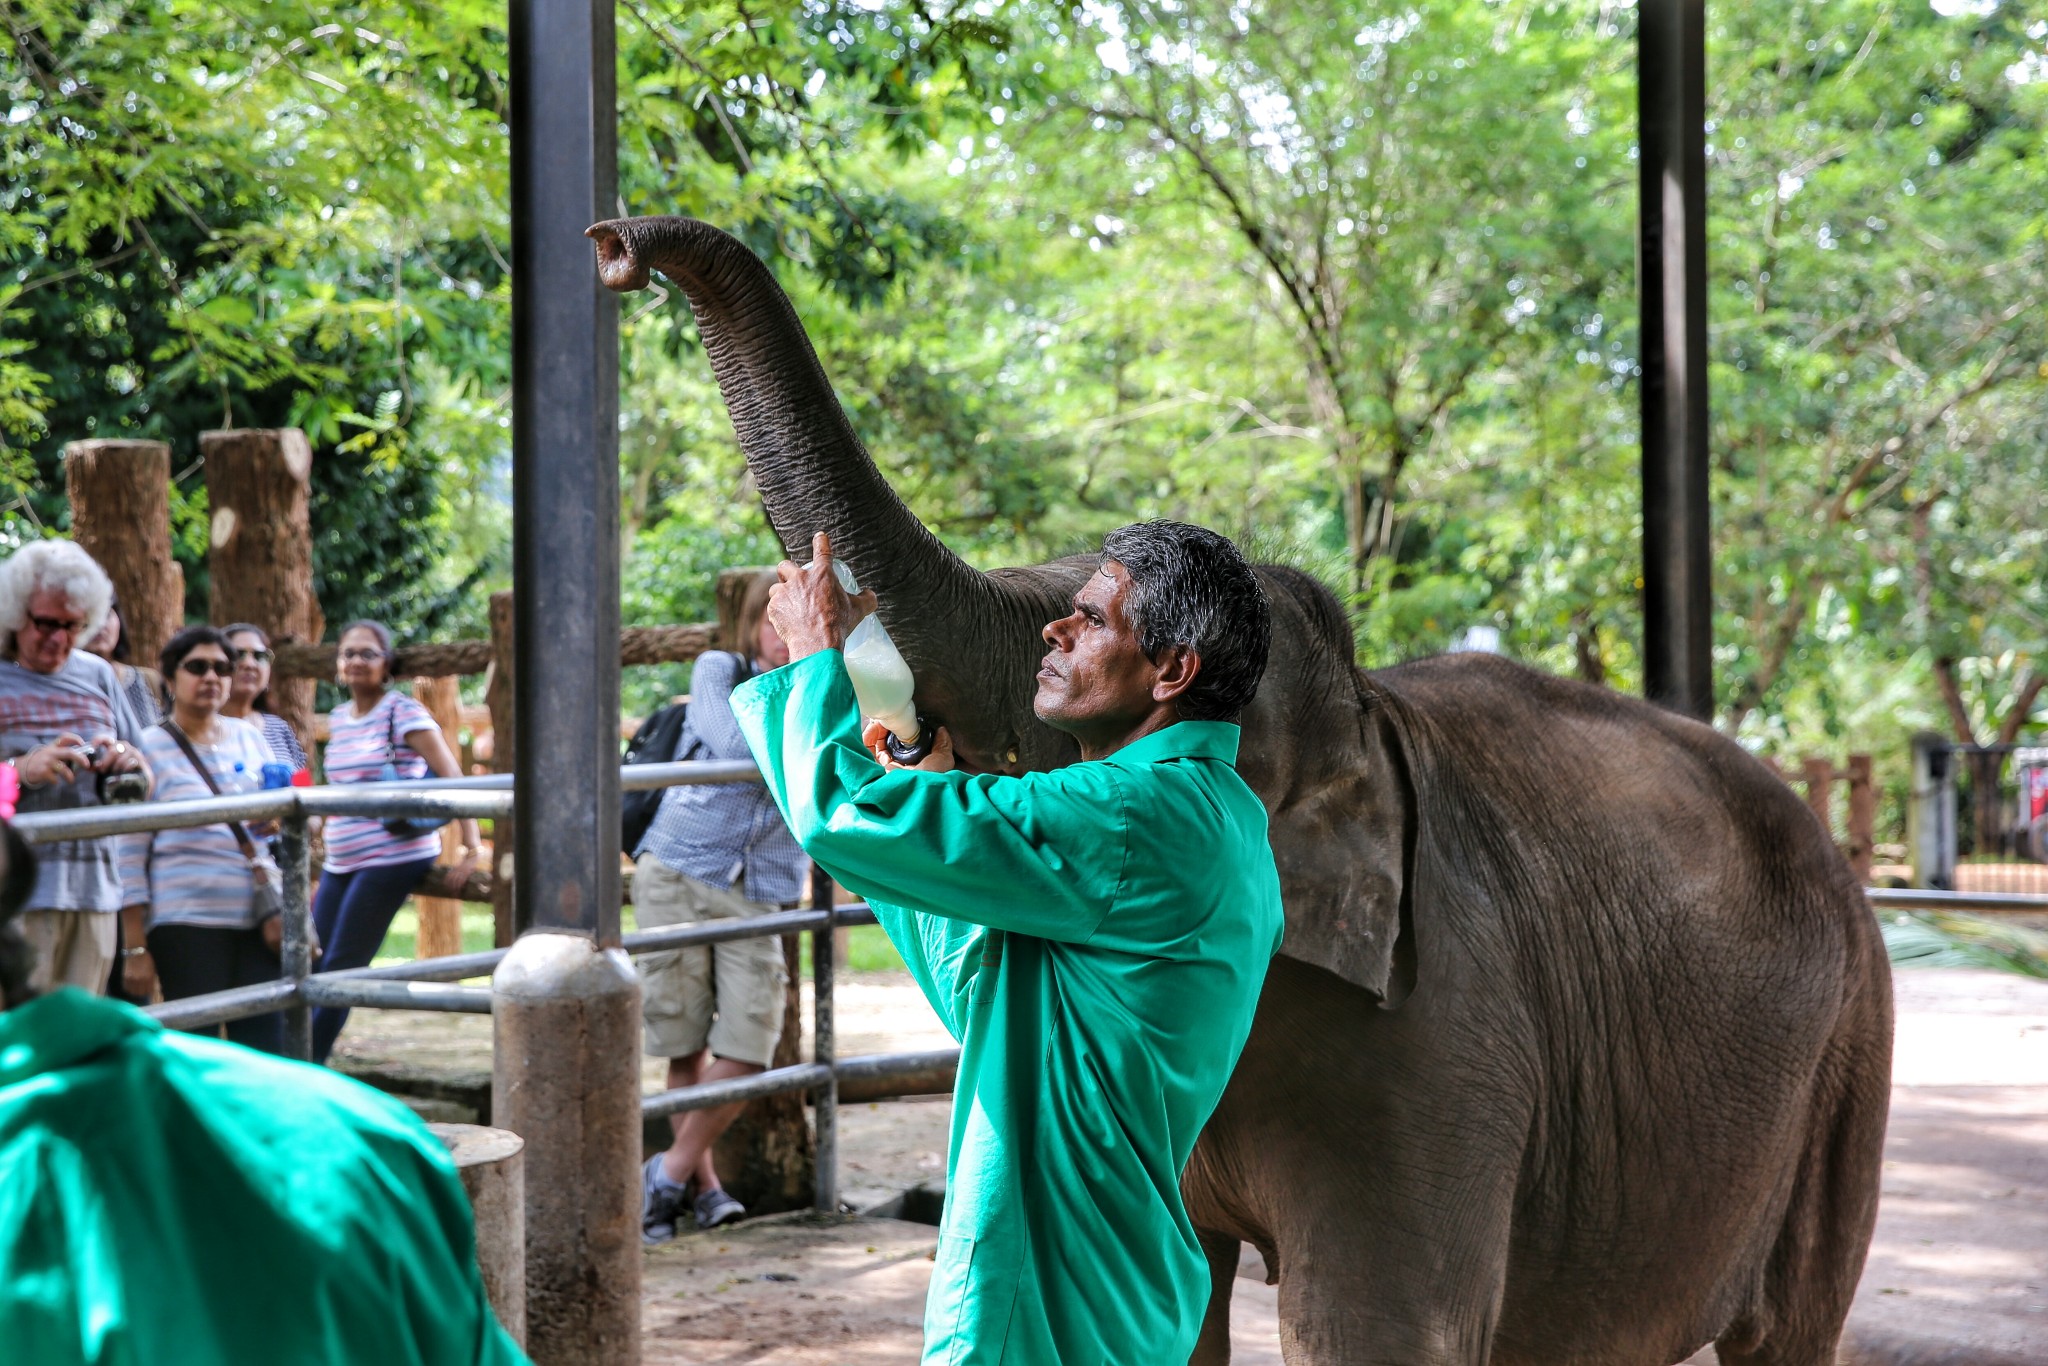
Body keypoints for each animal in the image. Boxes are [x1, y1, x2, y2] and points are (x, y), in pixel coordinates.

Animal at [589, 216, 1884, 1366]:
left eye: (1081, 620)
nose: (614, 247)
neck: (1367, 716)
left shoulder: (1445, 1031)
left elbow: (1375, 1334)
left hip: (1845, 1064)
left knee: (1787, 1330)